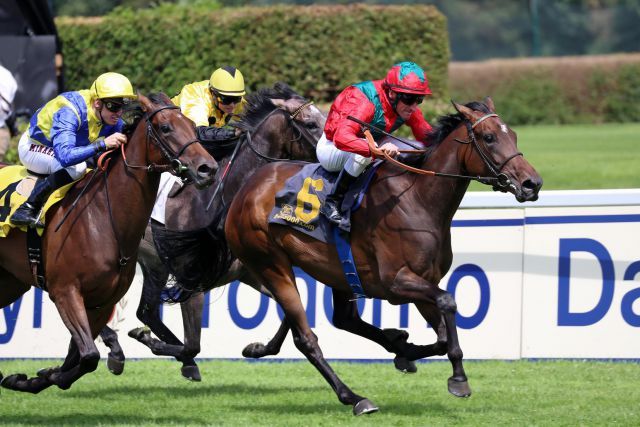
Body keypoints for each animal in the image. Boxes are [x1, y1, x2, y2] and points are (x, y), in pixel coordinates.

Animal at [0, 93, 216, 394]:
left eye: (193, 126)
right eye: (165, 128)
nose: (208, 168)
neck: (102, 219)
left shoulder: (102, 302)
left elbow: (78, 356)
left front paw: (36, 377)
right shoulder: (65, 292)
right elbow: (89, 355)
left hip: (10, 282)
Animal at [228, 98, 544, 414]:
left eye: (514, 136)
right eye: (489, 137)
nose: (533, 183)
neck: (418, 199)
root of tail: (247, 187)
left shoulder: (423, 281)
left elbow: (442, 336)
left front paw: (405, 351)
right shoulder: (396, 281)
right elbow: (447, 301)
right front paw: (458, 378)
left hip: (335, 271)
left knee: (338, 319)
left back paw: (262, 348)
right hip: (270, 263)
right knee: (306, 338)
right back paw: (354, 397)